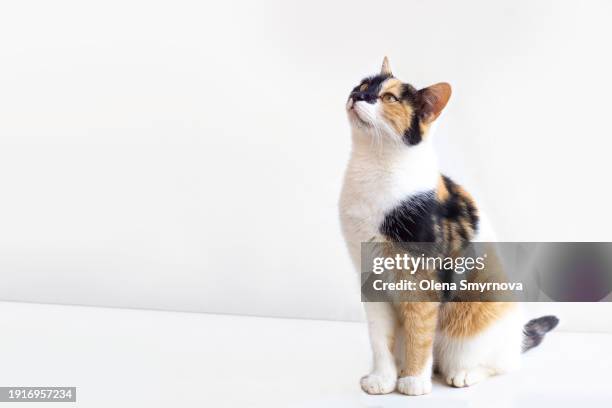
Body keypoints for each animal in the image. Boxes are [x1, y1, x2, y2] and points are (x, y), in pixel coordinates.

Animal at [340, 57, 560, 396]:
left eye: (389, 98)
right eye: (363, 85)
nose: (358, 96)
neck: (374, 168)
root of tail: (517, 334)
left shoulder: (421, 282)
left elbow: (419, 332)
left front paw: (414, 382)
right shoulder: (370, 278)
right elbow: (379, 338)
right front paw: (382, 379)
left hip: (475, 327)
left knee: (500, 364)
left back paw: (462, 374)